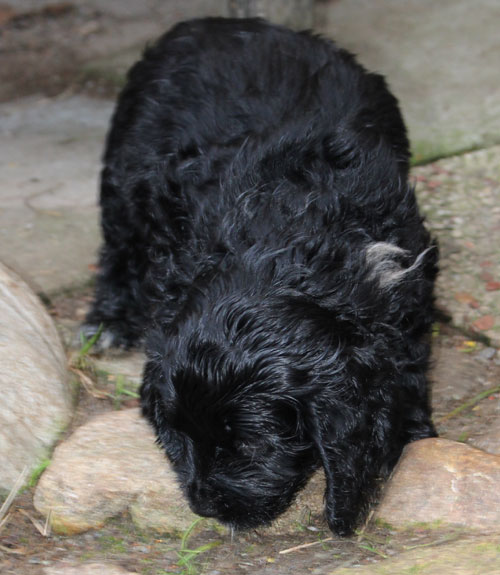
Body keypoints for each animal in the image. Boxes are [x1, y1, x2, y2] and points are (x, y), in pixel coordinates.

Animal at [83, 17, 438, 536]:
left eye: (251, 445)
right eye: (183, 433)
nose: (204, 506)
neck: (281, 248)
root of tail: (215, 23)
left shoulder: (407, 285)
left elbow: (408, 363)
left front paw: (410, 429)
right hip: (126, 169)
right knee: (119, 243)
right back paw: (108, 321)